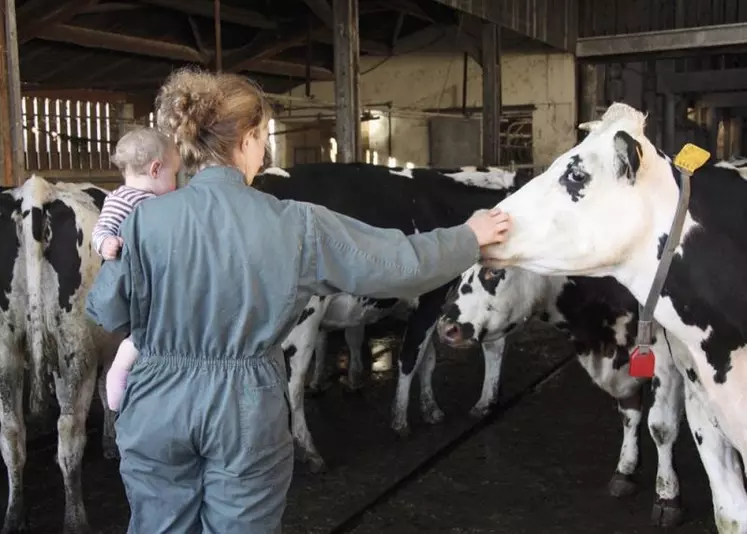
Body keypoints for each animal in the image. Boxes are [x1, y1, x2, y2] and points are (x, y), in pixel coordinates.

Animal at [0, 178, 118, 532]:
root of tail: (36, 191)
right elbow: (109, 390)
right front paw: (112, 442)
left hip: (7, 348)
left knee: (11, 432)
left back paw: (15, 515)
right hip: (75, 347)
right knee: (70, 431)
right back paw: (75, 519)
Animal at [254, 164, 528, 474]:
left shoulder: (427, 309)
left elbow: (427, 359)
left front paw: (431, 408)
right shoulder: (432, 301)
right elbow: (409, 359)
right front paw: (400, 420)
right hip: (302, 322)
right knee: (293, 385)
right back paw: (309, 451)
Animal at [438, 266, 688, 524]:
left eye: (494, 272)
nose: (445, 328)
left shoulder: (666, 362)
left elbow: (661, 428)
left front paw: (667, 496)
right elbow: (630, 414)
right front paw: (625, 469)